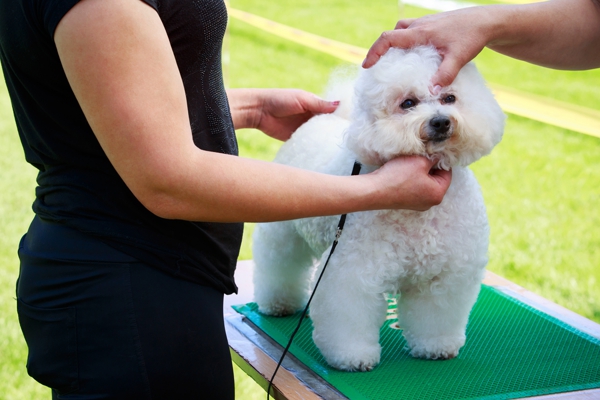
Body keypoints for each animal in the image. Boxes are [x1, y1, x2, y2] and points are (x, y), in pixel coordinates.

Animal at [252, 47, 506, 372]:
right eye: (408, 103)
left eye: (450, 98)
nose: (440, 122)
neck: (421, 217)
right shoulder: (352, 270)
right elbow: (349, 314)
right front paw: (353, 356)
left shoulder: (446, 276)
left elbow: (436, 315)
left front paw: (436, 346)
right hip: (285, 234)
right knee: (280, 265)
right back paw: (278, 303)